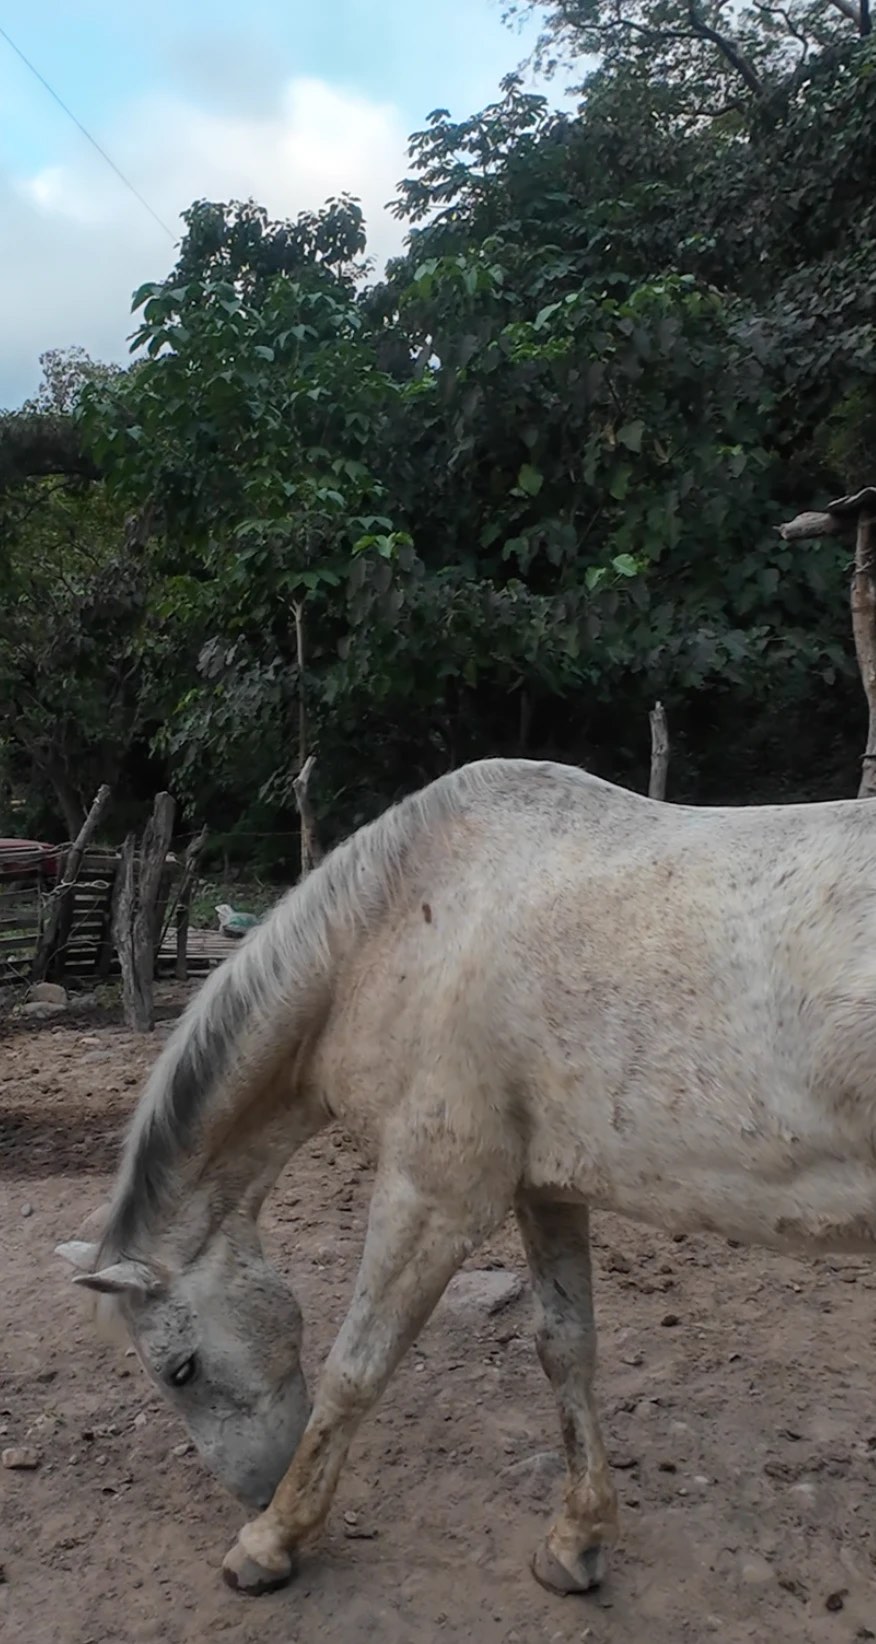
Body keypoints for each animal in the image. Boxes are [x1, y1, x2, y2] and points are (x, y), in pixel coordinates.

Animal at [56, 757, 876, 1599]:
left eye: (180, 1370)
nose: (259, 1487)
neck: (396, 931)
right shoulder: (546, 1191)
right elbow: (565, 1348)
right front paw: (576, 1542)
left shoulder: (431, 1196)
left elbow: (357, 1366)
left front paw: (271, 1540)